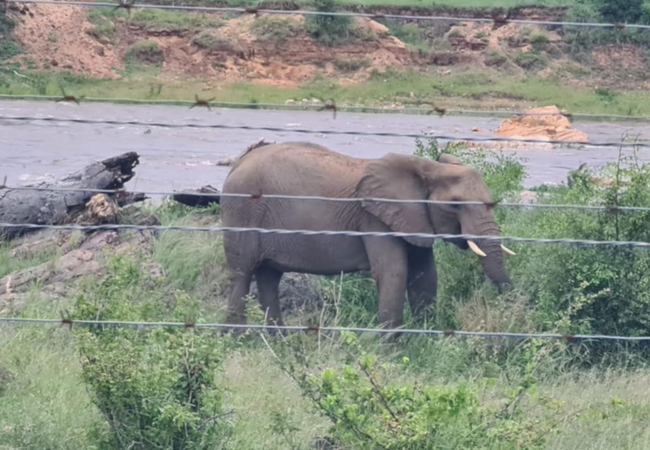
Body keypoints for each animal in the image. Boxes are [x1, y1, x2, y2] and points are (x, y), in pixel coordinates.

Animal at [220, 142, 512, 328]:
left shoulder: (413, 218)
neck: (428, 168)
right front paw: (392, 356)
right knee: (242, 273)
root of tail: (236, 164)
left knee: (269, 276)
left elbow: (425, 277)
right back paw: (238, 341)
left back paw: (279, 344)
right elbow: (394, 272)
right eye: (456, 205)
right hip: (242, 209)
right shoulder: (374, 217)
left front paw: (426, 341)